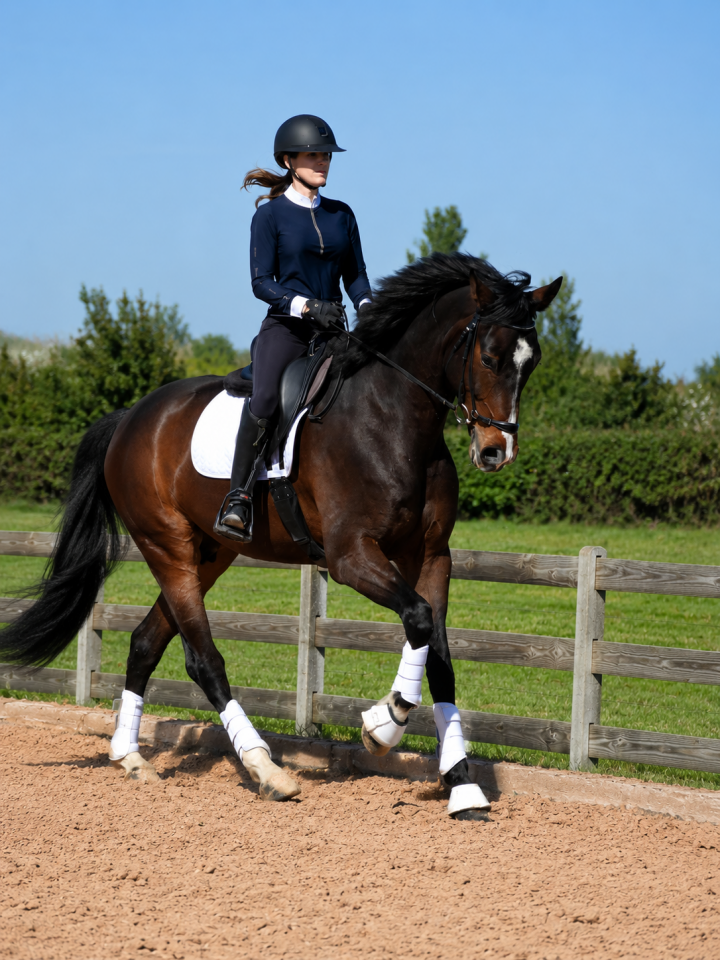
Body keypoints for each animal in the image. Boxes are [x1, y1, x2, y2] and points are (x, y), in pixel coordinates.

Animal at [0, 253, 561, 818]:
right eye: (488, 356)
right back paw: (266, 769)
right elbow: (420, 621)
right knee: (203, 660)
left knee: (145, 641)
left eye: (532, 362)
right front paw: (385, 723)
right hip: (167, 545)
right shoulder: (351, 556)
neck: (394, 418)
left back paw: (131, 756)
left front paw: (462, 783)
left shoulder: (431, 555)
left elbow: (440, 653)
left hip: (210, 553)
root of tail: (130, 418)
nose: (495, 452)